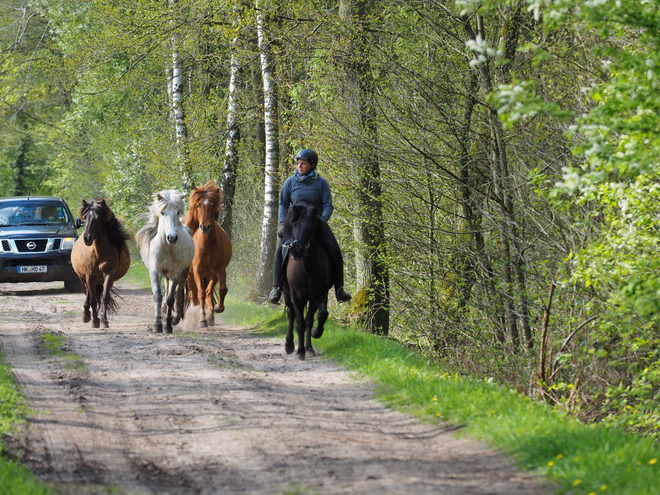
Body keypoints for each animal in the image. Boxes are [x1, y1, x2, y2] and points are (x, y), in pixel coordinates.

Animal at [71, 198, 131, 330]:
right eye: (85, 217)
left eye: (98, 218)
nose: (87, 238)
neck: (99, 252)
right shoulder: (89, 276)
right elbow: (93, 300)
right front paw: (95, 321)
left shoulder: (109, 274)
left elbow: (104, 297)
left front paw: (104, 320)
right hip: (84, 278)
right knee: (88, 294)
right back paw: (86, 316)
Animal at [135, 192, 195, 336]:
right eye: (162, 212)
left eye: (178, 212)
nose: (172, 238)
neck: (168, 247)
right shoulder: (155, 272)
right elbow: (158, 296)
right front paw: (157, 325)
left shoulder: (175, 274)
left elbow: (170, 299)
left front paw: (168, 326)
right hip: (165, 274)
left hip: (182, 273)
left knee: (178, 293)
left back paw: (175, 318)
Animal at [184, 180, 233, 328]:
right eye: (198, 205)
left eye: (212, 205)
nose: (205, 227)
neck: (208, 244)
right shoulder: (198, 270)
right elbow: (200, 293)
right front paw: (201, 320)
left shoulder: (219, 270)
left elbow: (222, 289)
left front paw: (218, 308)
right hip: (191, 275)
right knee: (194, 294)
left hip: (210, 274)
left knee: (208, 293)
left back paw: (210, 316)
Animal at [278, 202, 332, 360]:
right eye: (294, 225)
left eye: (311, 227)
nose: (296, 250)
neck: (308, 268)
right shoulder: (296, 297)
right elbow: (300, 323)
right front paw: (300, 351)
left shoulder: (319, 294)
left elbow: (319, 315)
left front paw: (314, 336)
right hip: (287, 294)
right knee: (291, 315)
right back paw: (289, 345)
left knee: (307, 318)